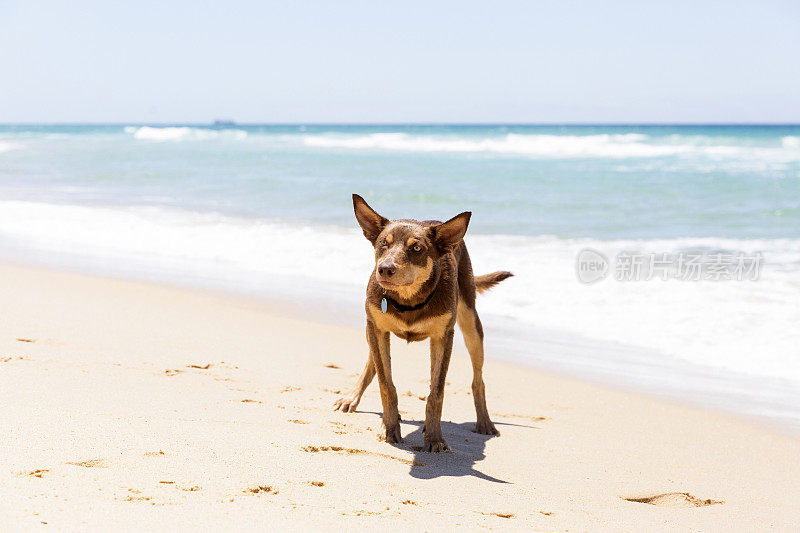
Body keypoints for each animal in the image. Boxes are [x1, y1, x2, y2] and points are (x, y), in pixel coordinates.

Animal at [332, 193, 512, 450]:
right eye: (383, 243)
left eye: (417, 248)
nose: (384, 269)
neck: (408, 300)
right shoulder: (376, 327)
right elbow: (386, 384)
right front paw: (390, 427)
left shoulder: (443, 337)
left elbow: (436, 391)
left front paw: (435, 437)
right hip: (372, 330)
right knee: (372, 363)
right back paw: (353, 397)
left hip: (471, 324)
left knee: (478, 379)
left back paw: (484, 421)